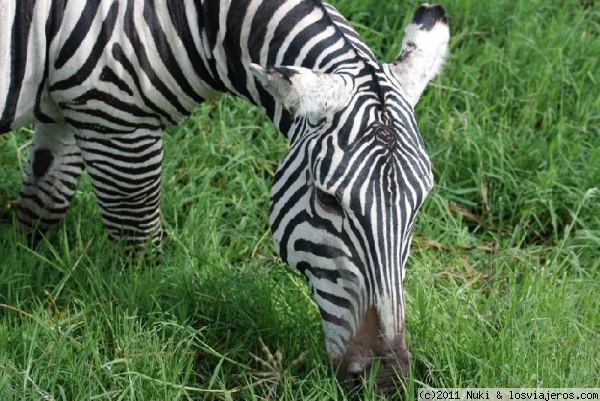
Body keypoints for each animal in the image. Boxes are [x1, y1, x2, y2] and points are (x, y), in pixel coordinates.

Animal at [1, 0, 450, 390]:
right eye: (328, 200)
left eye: (418, 206)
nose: (387, 380)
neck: (185, 21)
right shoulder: (117, 124)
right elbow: (140, 255)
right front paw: (137, 333)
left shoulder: (71, 110)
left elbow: (42, 204)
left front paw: (21, 268)